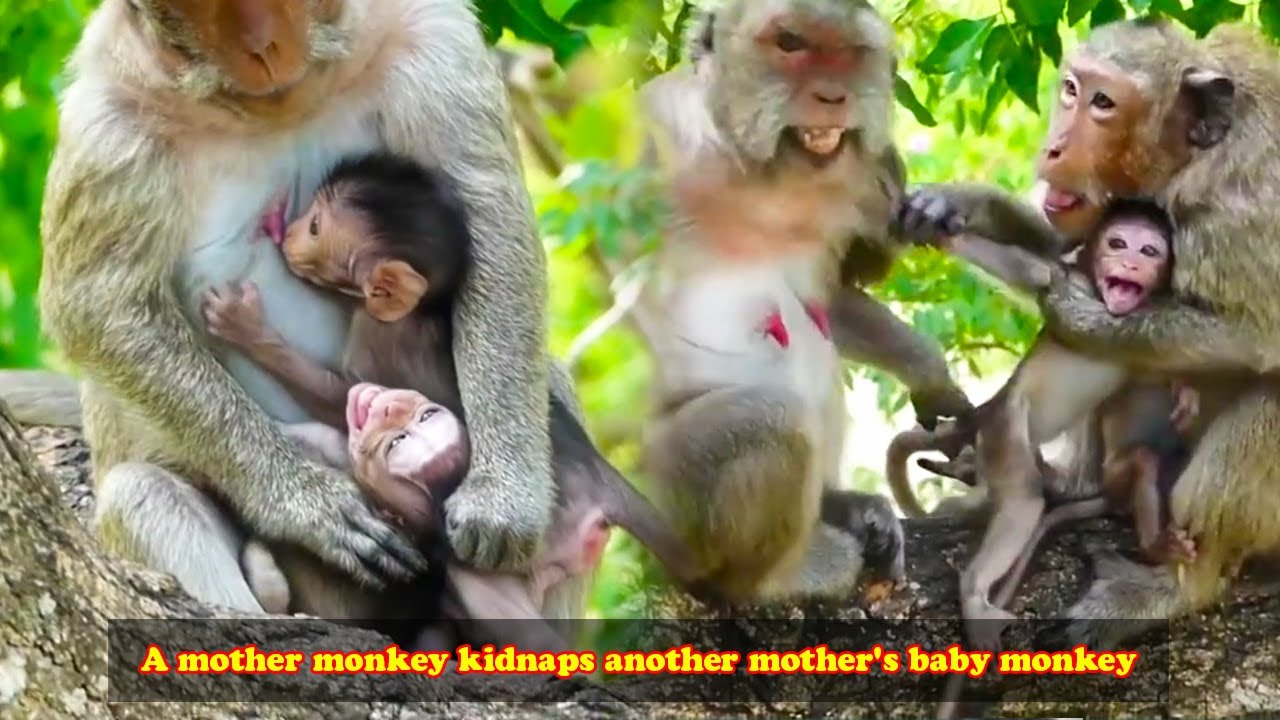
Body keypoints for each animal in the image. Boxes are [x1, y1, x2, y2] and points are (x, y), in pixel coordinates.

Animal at [39, 0, 564, 616]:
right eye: (203, 10)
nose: (262, 46)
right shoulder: (109, 120)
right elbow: (100, 303)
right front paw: (310, 506)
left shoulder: (432, 33)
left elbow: (489, 214)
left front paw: (503, 501)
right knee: (142, 494)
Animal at [631, 0, 913, 605]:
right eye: (790, 43)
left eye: (853, 52)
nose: (832, 94)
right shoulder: (651, 132)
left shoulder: (861, 179)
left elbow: (833, 295)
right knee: (773, 419)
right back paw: (776, 578)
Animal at [893, 18, 1280, 650]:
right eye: (1072, 89)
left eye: (1105, 103)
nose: (1054, 147)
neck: (1191, 161)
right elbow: (1061, 242)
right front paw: (953, 203)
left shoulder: (1244, 219)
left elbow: (1258, 339)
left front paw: (1078, 311)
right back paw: (1068, 486)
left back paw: (1181, 584)